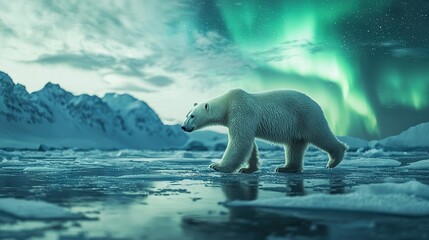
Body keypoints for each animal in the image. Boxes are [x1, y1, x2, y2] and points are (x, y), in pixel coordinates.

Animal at [180, 89, 344, 173]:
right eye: (187, 115)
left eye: (192, 116)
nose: (183, 127)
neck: (228, 103)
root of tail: (316, 104)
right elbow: (249, 144)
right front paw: (248, 169)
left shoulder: (241, 111)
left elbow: (240, 141)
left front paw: (217, 166)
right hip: (297, 125)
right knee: (294, 146)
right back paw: (285, 168)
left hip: (306, 117)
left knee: (320, 135)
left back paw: (334, 160)